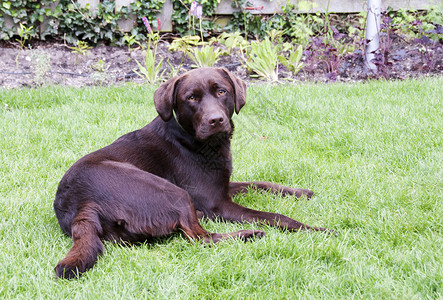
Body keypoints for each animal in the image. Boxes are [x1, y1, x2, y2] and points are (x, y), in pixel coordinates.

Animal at [53, 67, 328, 278]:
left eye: (221, 91)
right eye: (191, 98)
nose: (215, 120)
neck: (195, 140)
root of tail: (82, 205)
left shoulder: (221, 186)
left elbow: (261, 183)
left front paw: (300, 192)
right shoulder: (217, 204)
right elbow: (273, 216)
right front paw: (315, 229)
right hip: (171, 191)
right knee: (200, 237)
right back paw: (248, 234)